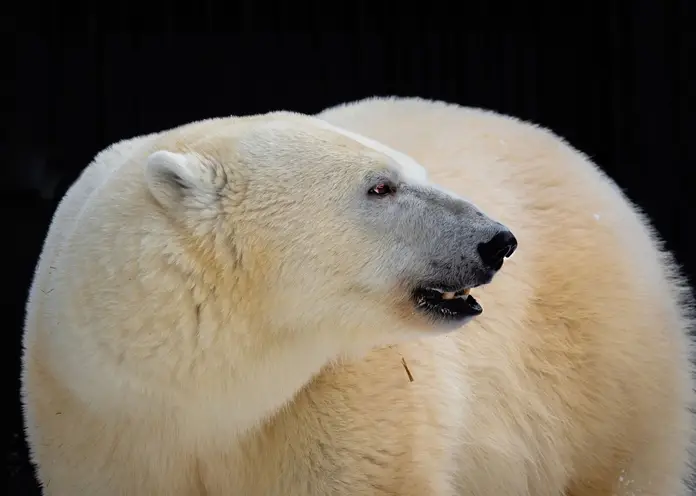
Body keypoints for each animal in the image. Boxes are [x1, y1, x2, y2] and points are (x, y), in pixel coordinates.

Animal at [19, 98, 692, 496]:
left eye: (411, 173)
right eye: (381, 187)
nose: (497, 241)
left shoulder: (345, 400)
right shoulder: (100, 426)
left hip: (598, 367)